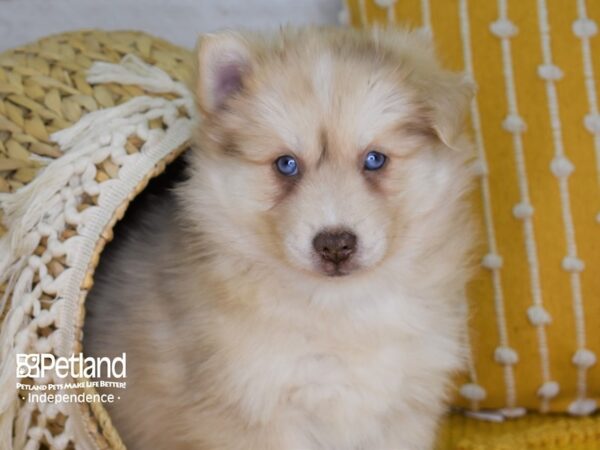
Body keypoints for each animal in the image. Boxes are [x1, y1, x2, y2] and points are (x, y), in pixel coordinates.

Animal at [85, 27, 478, 450]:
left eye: (375, 159)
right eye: (286, 164)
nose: (335, 244)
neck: (340, 309)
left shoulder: (405, 404)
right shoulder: (255, 407)